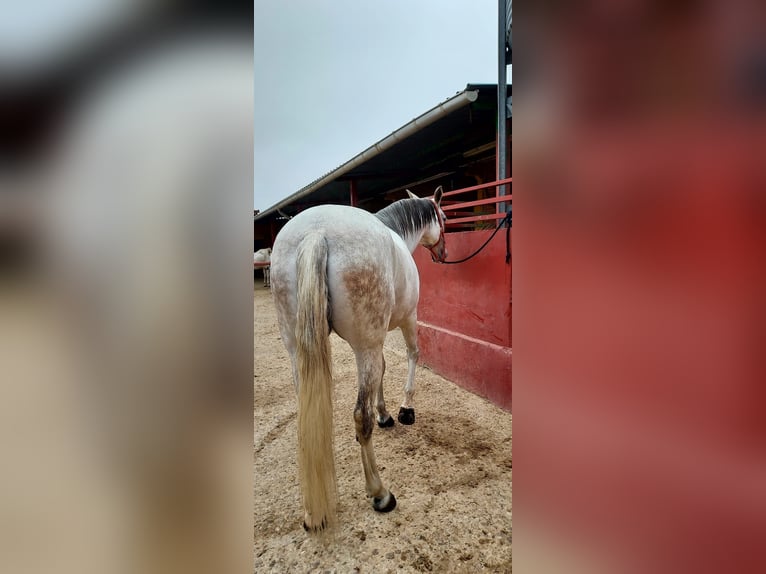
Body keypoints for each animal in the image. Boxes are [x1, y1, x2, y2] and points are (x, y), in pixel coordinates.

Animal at [272, 187, 448, 532]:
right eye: (444, 218)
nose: (443, 252)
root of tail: (316, 233)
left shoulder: (376, 341)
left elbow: (382, 370)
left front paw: (385, 414)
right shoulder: (406, 320)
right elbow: (412, 355)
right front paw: (404, 410)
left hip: (298, 349)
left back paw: (312, 512)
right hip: (364, 344)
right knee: (359, 416)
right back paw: (380, 493)